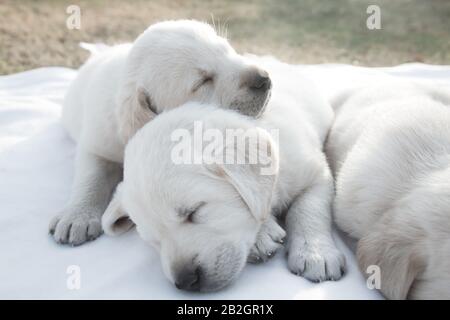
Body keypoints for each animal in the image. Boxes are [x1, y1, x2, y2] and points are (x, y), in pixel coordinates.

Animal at [49, 20, 270, 245]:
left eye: (227, 50)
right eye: (203, 81)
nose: (265, 79)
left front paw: (262, 229)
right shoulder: (97, 142)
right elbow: (92, 176)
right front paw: (77, 215)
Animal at [103, 59, 346, 292]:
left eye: (194, 212)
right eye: (153, 240)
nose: (186, 281)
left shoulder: (316, 172)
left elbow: (308, 209)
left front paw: (315, 253)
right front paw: (262, 234)